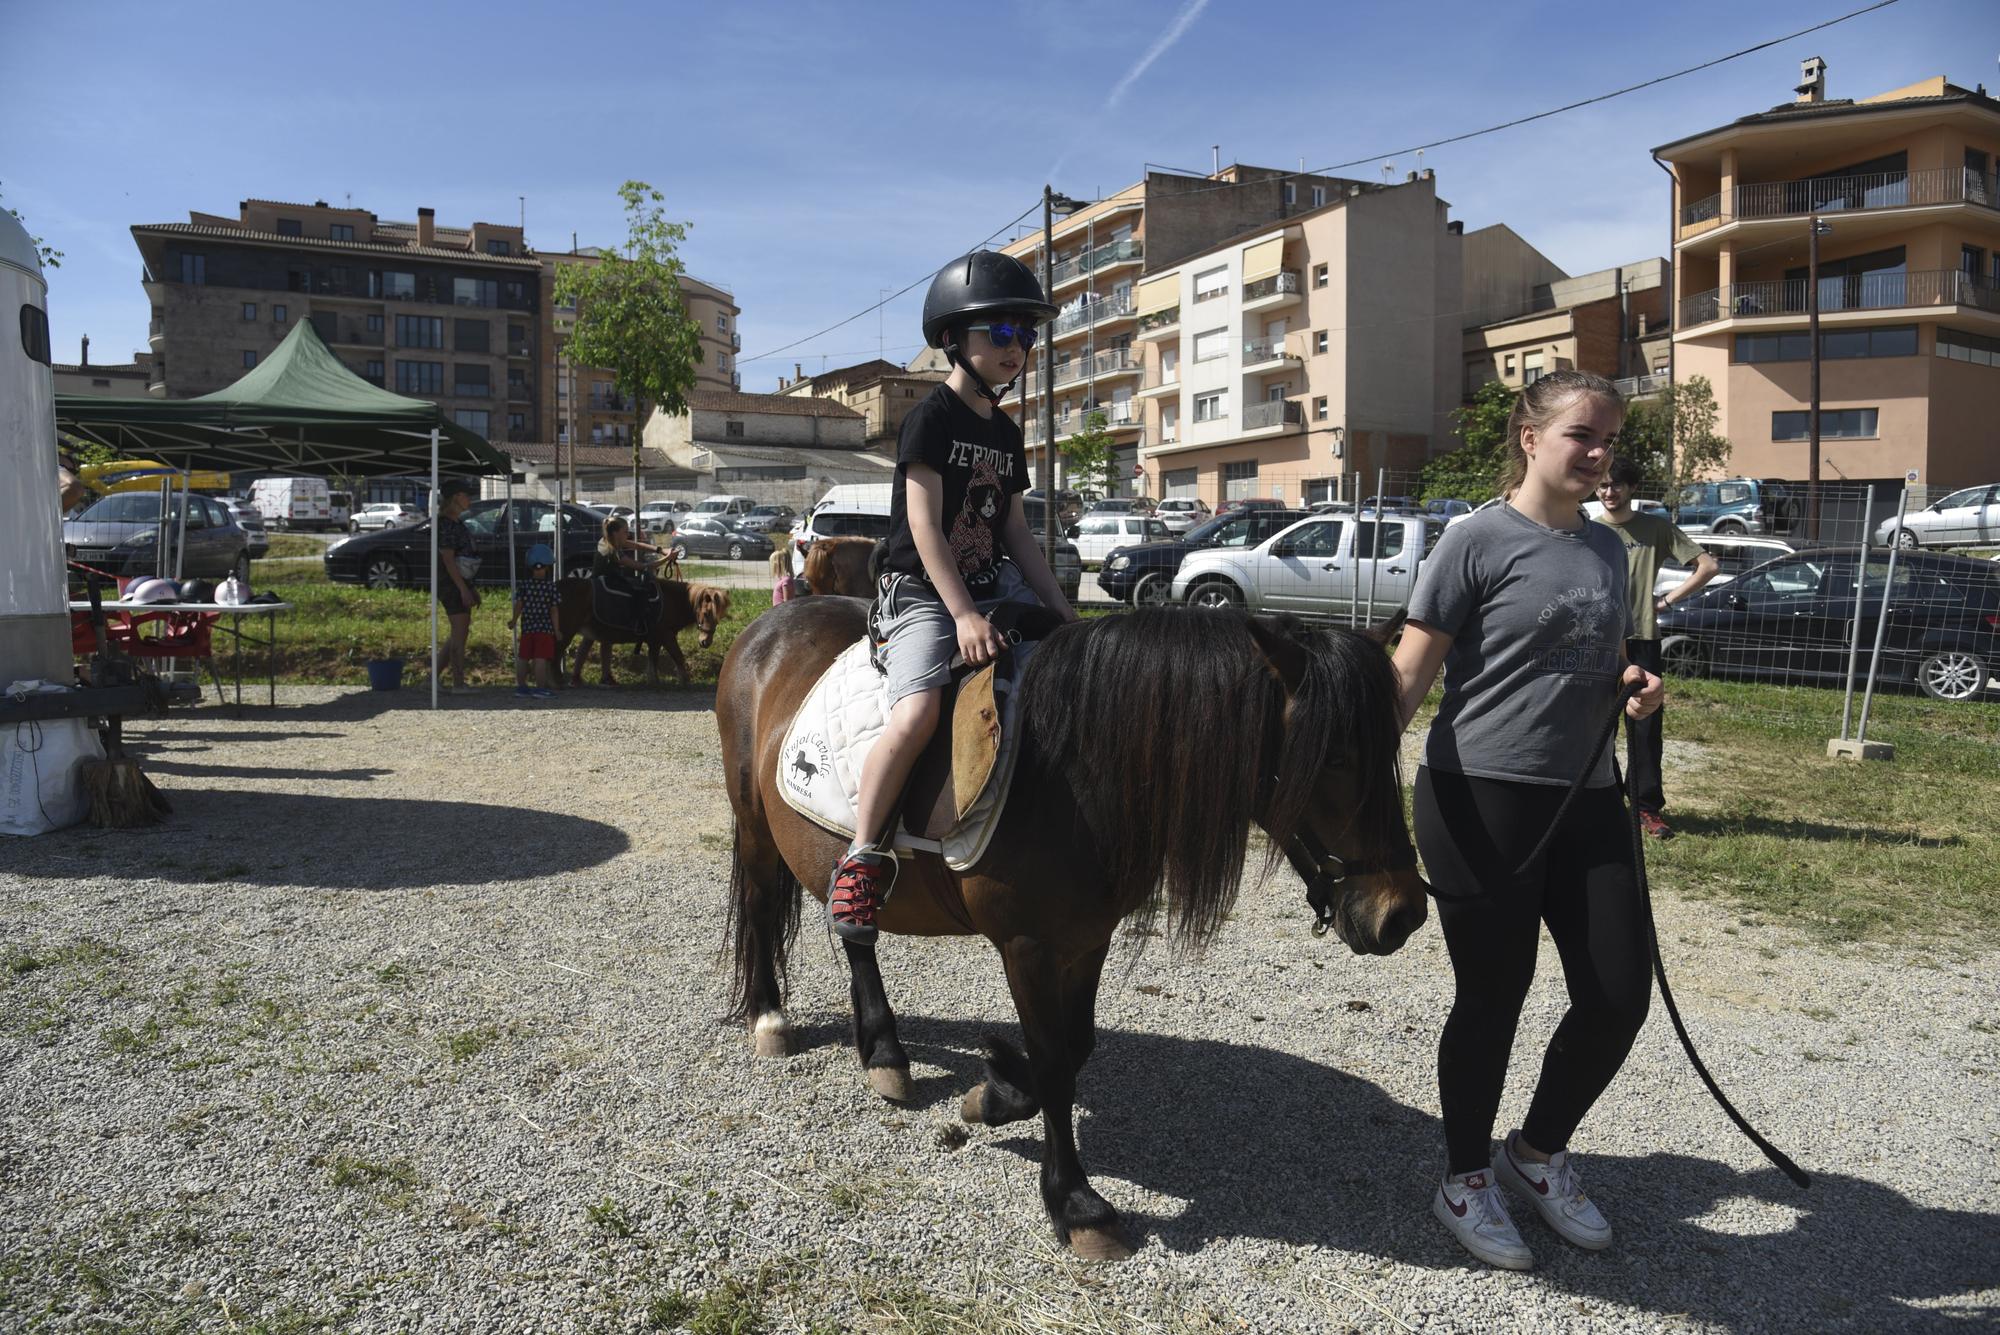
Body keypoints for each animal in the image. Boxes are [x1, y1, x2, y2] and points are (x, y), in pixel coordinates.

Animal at [560, 579, 732, 687]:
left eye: (719, 617)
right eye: (707, 613)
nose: (706, 642)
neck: (671, 601)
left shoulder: (656, 640)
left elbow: (653, 659)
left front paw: (654, 681)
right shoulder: (666, 636)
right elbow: (678, 657)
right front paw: (684, 681)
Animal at [712, 599, 1432, 1255]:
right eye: (1333, 756)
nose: (1401, 913)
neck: (1071, 773)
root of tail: (768, 625)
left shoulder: (1088, 938)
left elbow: (1074, 1045)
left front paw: (995, 1093)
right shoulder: (1027, 945)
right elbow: (1056, 1063)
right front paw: (1077, 1203)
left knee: (856, 931)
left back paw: (885, 1053)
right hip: (754, 821)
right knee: (763, 904)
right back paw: (772, 1019)